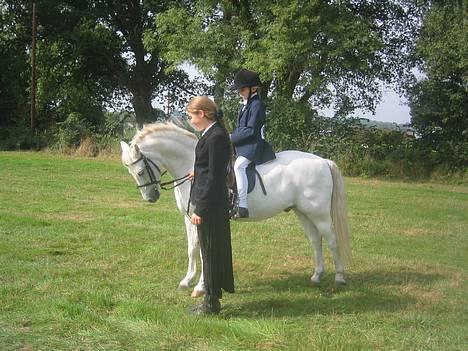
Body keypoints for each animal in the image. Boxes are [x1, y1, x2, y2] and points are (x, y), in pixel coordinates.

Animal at [120, 123, 352, 296]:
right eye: (131, 172)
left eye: (140, 171)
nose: (151, 197)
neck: (194, 168)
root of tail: (323, 161)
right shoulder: (189, 218)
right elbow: (192, 249)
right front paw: (186, 280)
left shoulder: (202, 219)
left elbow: (204, 252)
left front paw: (200, 287)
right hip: (302, 212)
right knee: (315, 240)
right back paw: (317, 276)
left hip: (319, 213)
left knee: (331, 240)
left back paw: (339, 277)